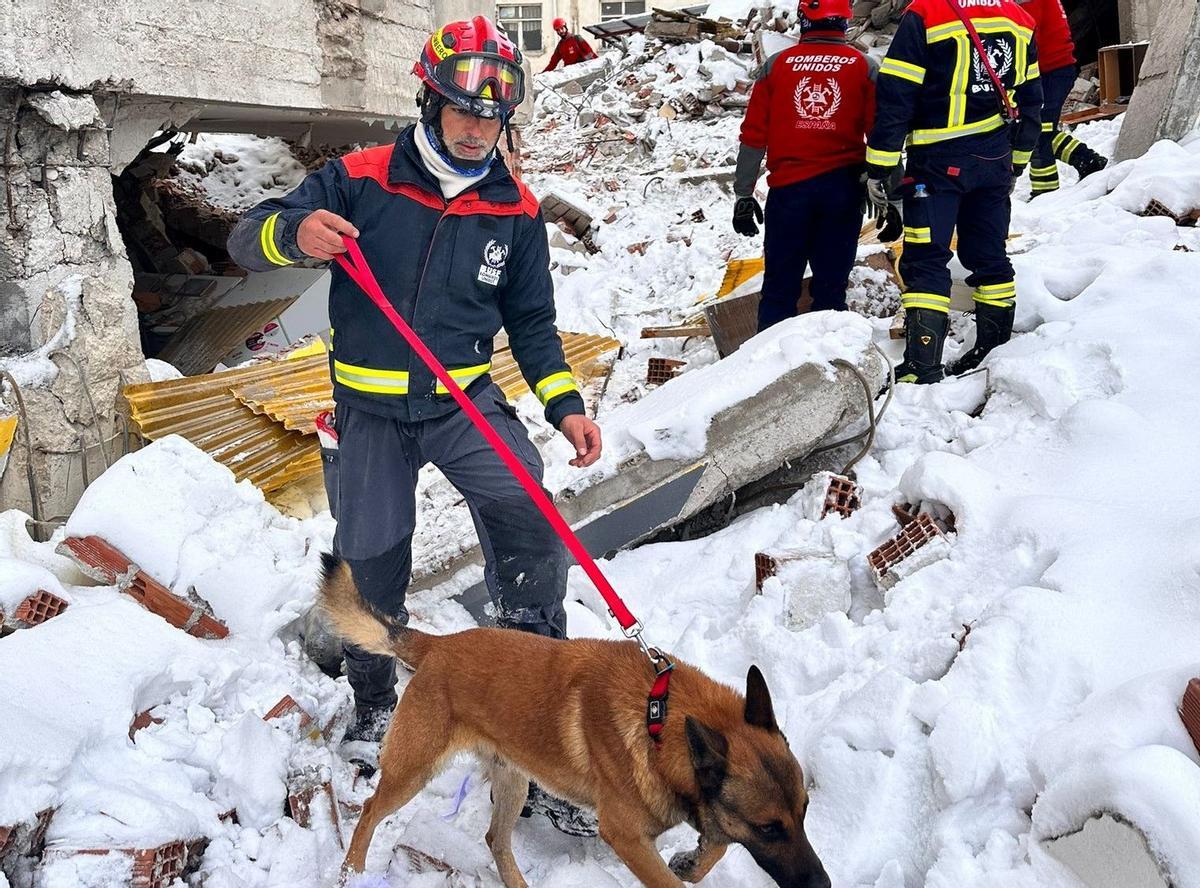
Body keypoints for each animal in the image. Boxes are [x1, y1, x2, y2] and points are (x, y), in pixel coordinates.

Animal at [314, 554, 830, 888]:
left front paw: (693, 859)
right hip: (413, 772)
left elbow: (716, 843)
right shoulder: (627, 839)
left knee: (495, 839)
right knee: (368, 814)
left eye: (805, 812)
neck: (657, 719)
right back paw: (351, 873)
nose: (822, 884)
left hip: (513, 779)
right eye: (768, 828)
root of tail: (437, 645)